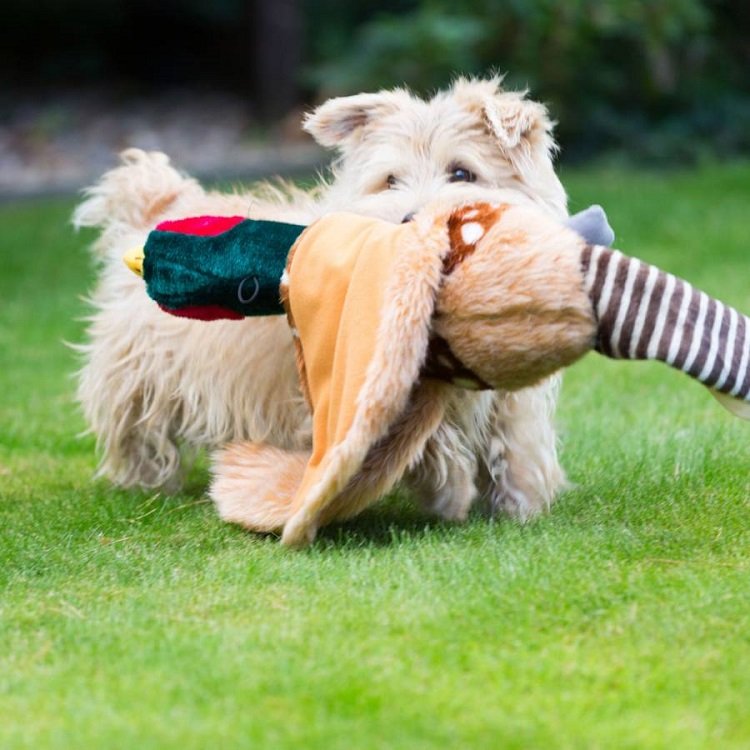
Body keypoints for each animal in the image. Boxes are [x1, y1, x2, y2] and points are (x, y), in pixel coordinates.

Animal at [75, 78, 568, 528]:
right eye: (390, 181)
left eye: (462, 173)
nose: (411, 223)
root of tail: (157, 206)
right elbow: (426, 437)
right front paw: (449, 490)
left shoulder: (508, 392)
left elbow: (513, 437)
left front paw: (519, 501)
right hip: (140, 372)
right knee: (137, 428)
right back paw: (146, 479)